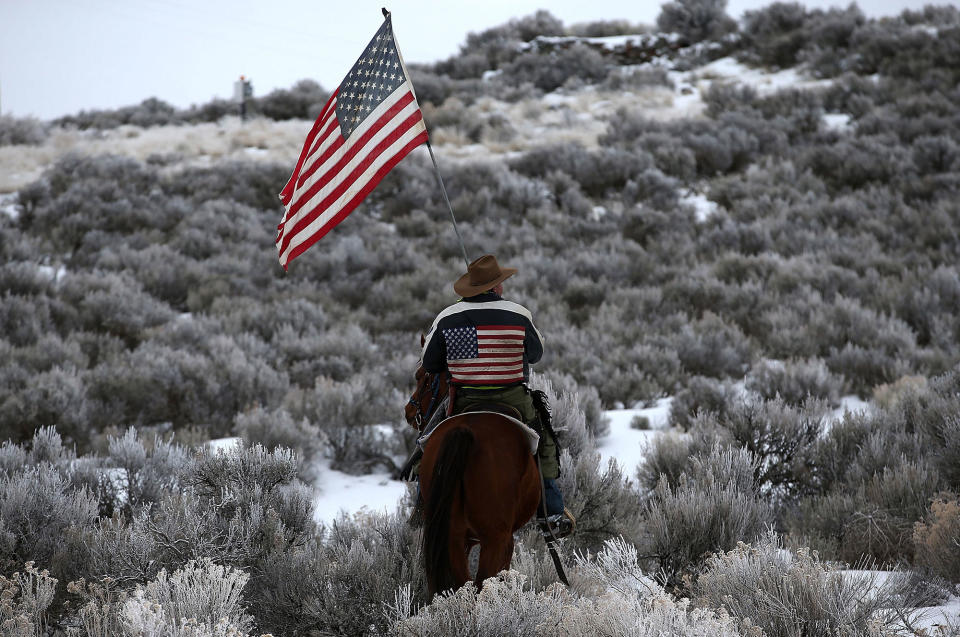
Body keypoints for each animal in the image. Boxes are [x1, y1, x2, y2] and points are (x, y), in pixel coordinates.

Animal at [404, 366, 540, 592]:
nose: (409, 411)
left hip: (452, 537)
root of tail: (465, 430)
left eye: (422, 377)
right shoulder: (505, 540)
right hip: (493, 539)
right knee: (480, 583)